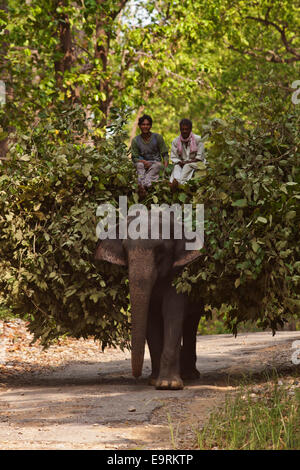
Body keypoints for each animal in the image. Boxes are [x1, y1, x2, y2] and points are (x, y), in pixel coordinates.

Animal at [95, 209, 204, 390]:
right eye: (125, 249)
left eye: (160, 250)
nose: (136, 376)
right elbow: (151, 317)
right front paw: (154, 381)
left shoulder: (178, 273)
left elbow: (173, 311)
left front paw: (168, 385)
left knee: (191, 322)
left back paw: (189, 375)